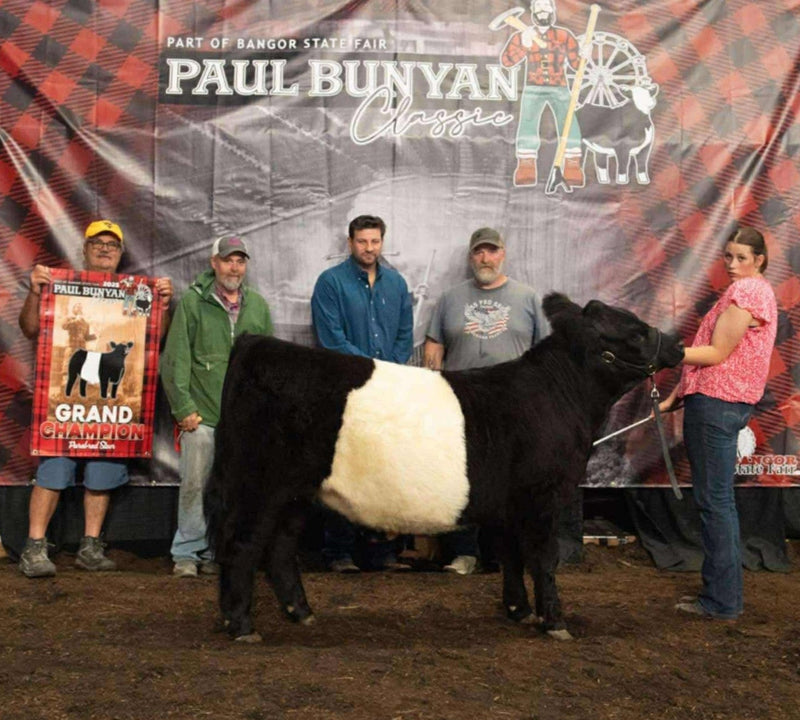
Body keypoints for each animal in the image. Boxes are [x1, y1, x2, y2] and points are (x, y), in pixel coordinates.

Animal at [206, 293, 684, 643]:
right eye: (635, 332)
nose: (678, 345)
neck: (557, 394)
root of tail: (256, 343)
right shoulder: (544, 495)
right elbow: (543, 558)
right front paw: (555, 623)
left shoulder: (508, 503)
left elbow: (511, 555)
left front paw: (518, 611)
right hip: (260, 483)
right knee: (243, 544)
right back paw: (241, 626)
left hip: (298, 493)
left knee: (280, 548)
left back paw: (301, 613)